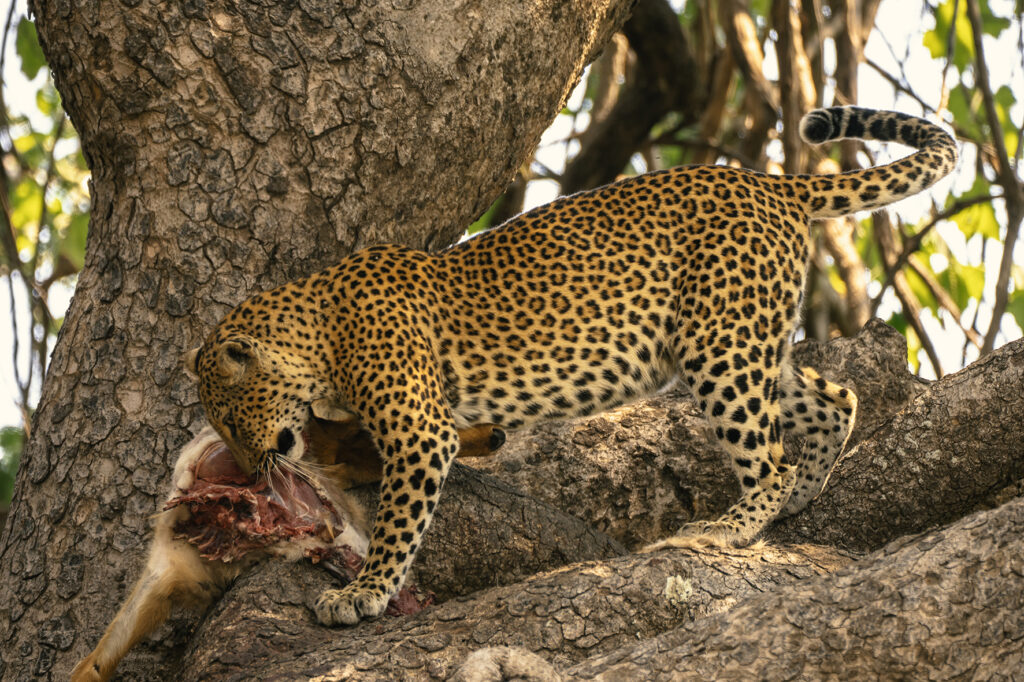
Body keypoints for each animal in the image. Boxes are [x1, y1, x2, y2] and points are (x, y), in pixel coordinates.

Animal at [186, 106, 958, 626]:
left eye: (230, 420)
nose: (250, 468)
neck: (318, 330)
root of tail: (775, 186)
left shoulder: (420, 434)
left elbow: (398, 523)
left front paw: (365, 592)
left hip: (721, 347)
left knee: (771, 457)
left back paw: (727, 527)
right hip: (742, 341)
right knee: (836, 399)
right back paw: (803, 493)